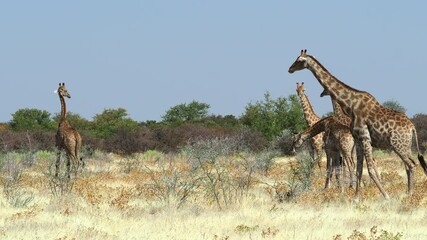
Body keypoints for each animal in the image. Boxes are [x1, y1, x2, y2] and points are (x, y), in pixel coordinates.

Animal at [288, 49, 427, 199]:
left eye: (299, 60)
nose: (290, 69)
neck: (351, 105)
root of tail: (412, 127)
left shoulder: (364, 138)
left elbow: (368, 169)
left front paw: (386, 196)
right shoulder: (358, 140)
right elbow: (359, 169)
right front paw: (356, 198)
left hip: (398, 144)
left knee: (411, 164)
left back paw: (410, 194)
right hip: (405, 145)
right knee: (410, 164)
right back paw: (408, 193)